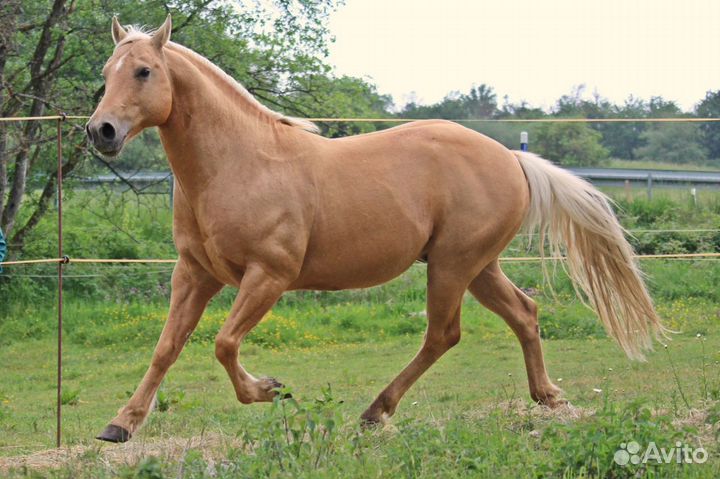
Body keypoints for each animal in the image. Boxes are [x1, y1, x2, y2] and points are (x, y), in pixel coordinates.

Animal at [86, 15, 665, 443]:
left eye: (143, 71)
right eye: (107, 72)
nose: (101, 131)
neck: (238, 163)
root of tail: (511, 158)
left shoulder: (268, 276)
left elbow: (225, 344)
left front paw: (271, 390)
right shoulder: (194, 274)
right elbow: (167, 347)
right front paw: (120, 425)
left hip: (453, 265)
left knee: (443, 334)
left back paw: (375, 411)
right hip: (477, 267)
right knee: (524, 313)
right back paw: (548, 398)